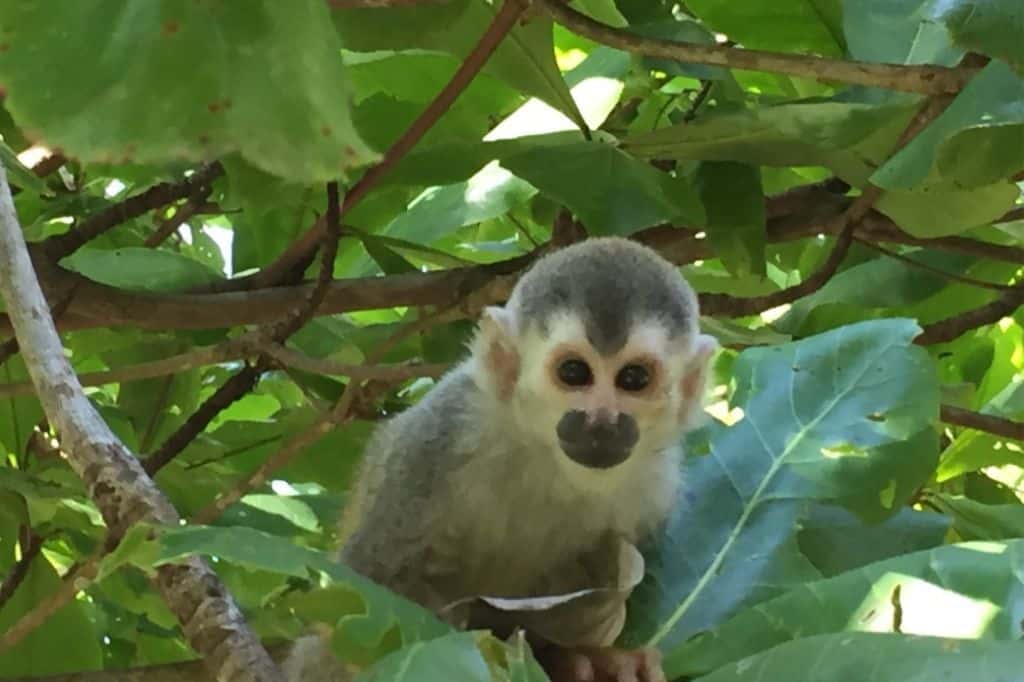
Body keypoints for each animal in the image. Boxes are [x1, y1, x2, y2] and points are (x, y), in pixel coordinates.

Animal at [284, 236, 716, 675]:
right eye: (574, 372)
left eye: (634, 379)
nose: (601, 423)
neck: (549, 459)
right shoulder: (440, 436)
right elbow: (365, 590)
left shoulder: (657, 489)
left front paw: (596, 660)